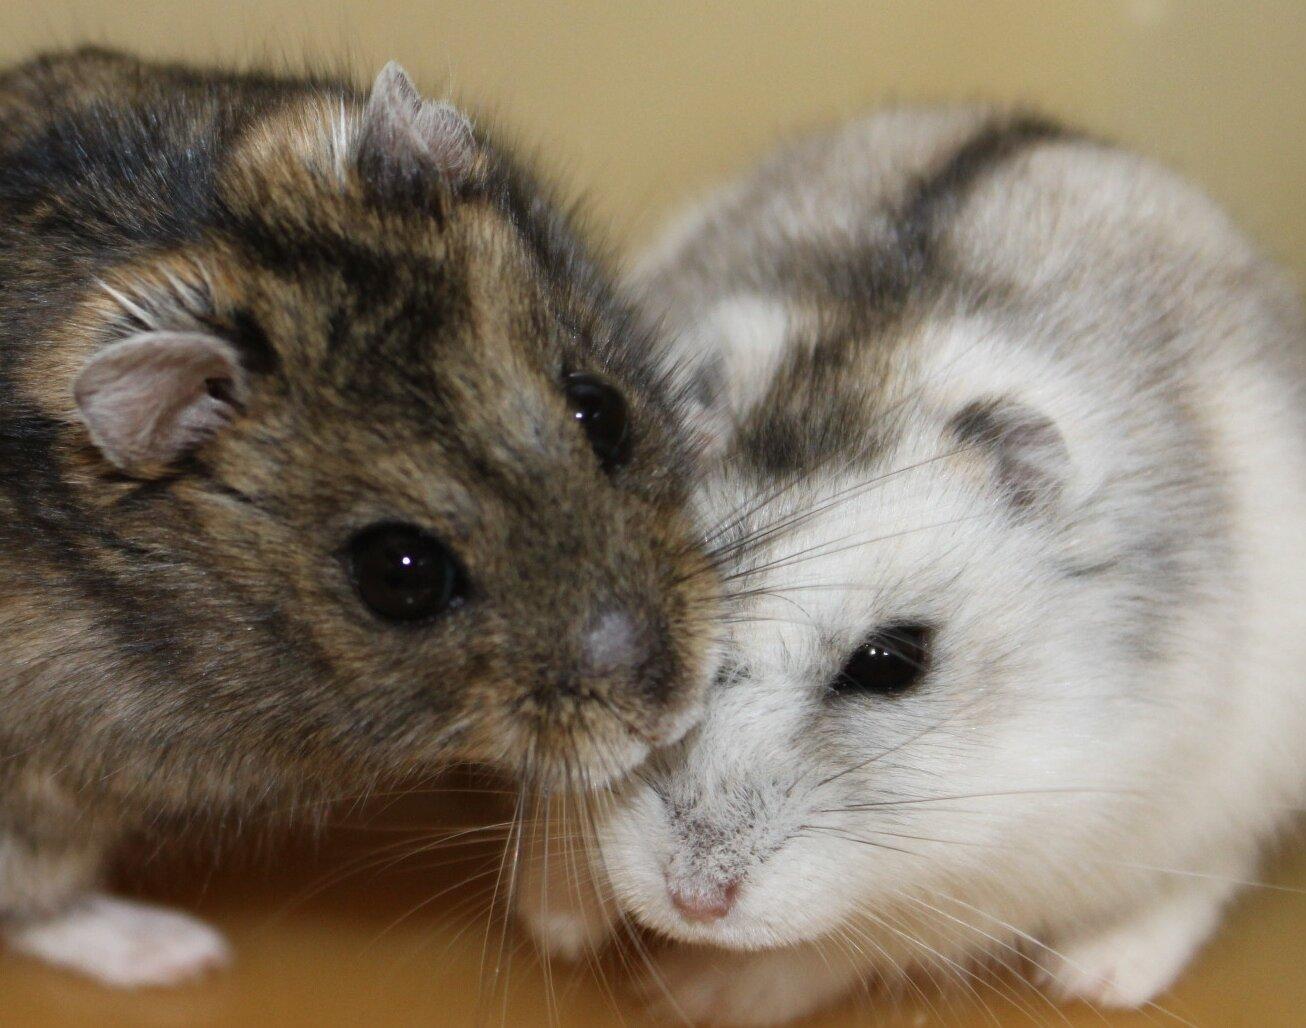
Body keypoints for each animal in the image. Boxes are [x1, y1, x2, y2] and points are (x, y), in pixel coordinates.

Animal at [528, 109, 1306, 1024]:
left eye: (890, 663)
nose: (693, 902)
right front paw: (557, 922)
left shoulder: (1008, 854)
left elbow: (845, 942)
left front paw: (685, 991)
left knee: (1211, 866)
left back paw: (1100, 975)